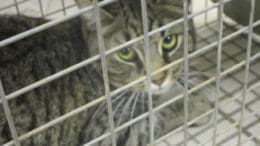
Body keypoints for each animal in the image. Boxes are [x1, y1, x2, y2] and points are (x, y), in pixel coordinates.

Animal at [0, 0, 211, 145]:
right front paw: (196, 101)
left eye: (169, 41)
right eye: (126, 53)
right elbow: (160, 113)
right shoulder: (105, 135)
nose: (158, 79)